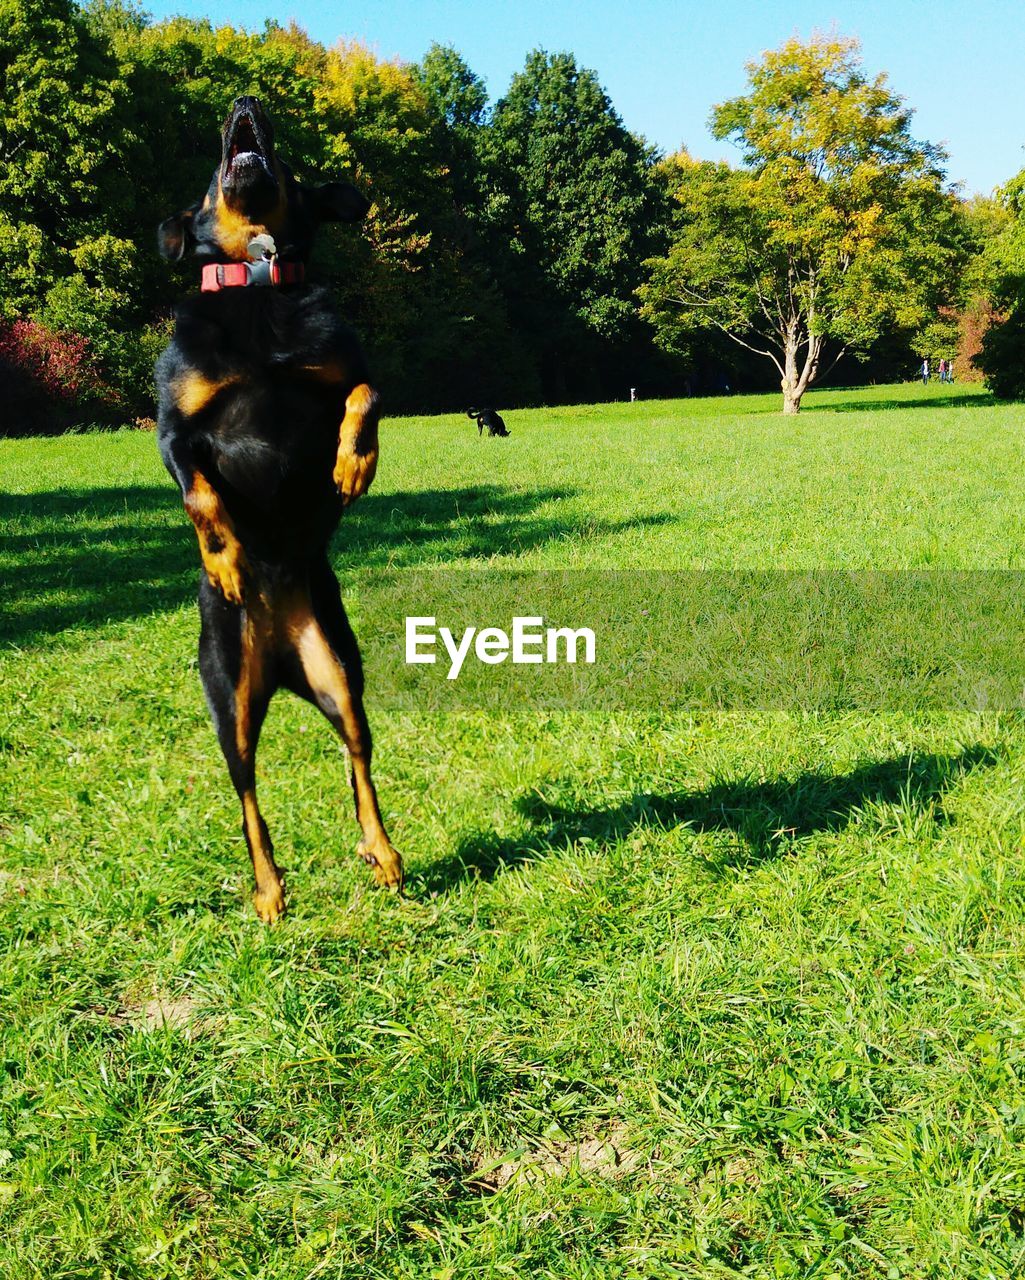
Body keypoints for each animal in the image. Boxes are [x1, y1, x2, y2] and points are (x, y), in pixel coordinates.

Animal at [154, 97, 401, 921]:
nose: (243, 102)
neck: (258, 277)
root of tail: (282, 663)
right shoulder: (174, 428)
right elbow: (200, 491)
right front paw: (226, 559)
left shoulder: (345, 374)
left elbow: (366, 395)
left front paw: (354, 463)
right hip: (228, 700)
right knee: (248, 800)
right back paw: (267, 890)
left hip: (342, 678)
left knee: (359, 768)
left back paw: (382, 851)